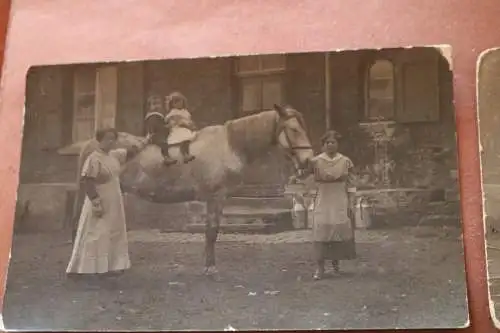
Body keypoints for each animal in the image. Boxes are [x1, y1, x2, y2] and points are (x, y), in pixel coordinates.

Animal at [72, 104, 312, 274]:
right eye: (293, 129)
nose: (308, 160)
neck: (229, 144)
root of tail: (92, 143)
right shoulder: (216, 196)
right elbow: (212, 231)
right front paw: (210, 267)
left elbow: (210, 232)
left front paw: (208, 263)